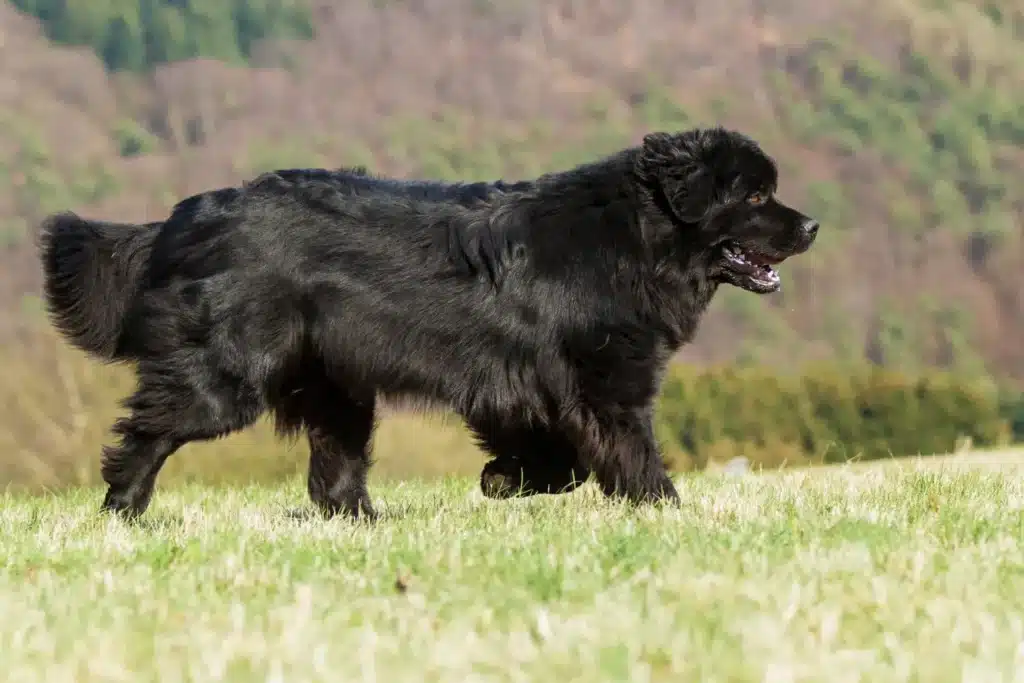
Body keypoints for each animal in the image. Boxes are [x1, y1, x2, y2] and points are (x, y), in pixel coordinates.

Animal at [37, 125, 815, 520]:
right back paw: (122, 507)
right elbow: (631, 452)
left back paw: (362, 522)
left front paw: (503, 479)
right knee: (148, 428)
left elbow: (557, 460)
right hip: (228, 376)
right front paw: (665, 508)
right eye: (755, 196)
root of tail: (187, 214)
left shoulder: (524, 387)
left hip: (335, 384)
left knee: (335, 464)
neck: (636, 235)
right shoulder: (603, 383)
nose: (811, 225)